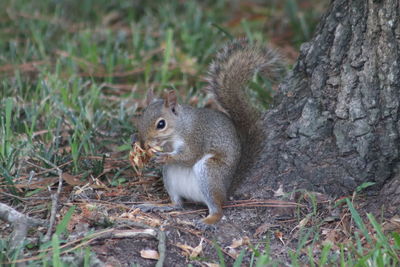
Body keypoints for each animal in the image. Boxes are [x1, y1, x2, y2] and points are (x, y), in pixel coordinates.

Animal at [133, 38, 282, 227]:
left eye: (161, 124)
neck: (177, 131)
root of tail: (226, 188)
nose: (143, 143)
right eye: (141, 116)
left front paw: (166, 157)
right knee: (178, 204)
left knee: (218, 208)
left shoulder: (195, 138)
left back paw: (209, 220)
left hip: (209, 171)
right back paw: (160, 206)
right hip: (171, 177)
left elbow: (189, 156)